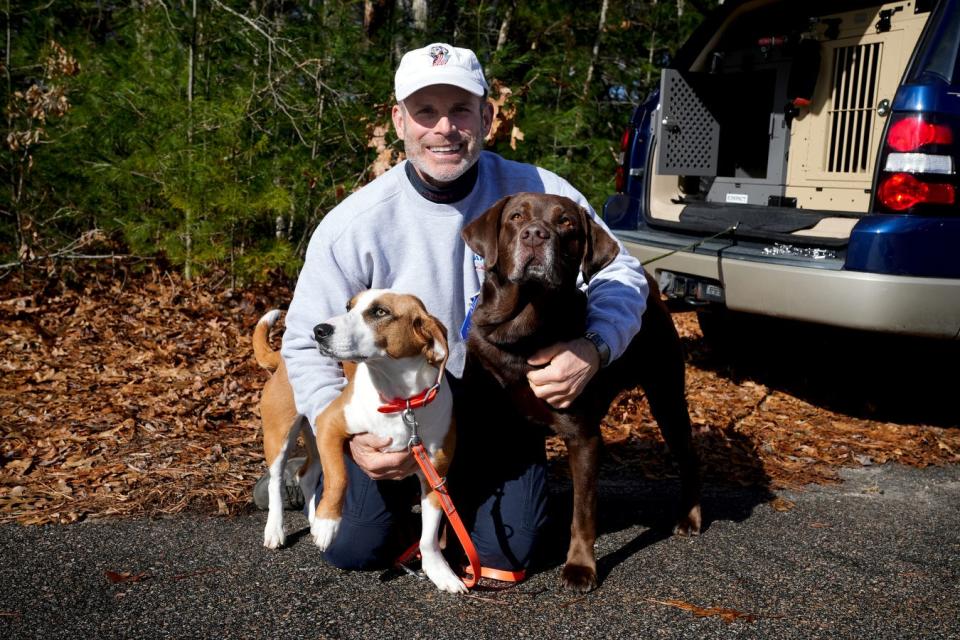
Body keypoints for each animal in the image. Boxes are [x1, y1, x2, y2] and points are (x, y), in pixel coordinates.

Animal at [253, 292, 466, 592]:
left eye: (380, 312)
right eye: (348, 307)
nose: (319, 330)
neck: (399, 400)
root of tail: (281, 360)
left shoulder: (435, 477)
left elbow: (429, 536)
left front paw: (440, 571)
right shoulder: (330, 426)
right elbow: (339, 478)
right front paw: (329, 522)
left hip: (314, 436)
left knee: (306, 475)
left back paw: (312, 518)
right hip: (281, 434)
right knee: (276, 481)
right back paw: (277, 528)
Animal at [462, 192, 700, 592]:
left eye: (566, 223)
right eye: (515, 217)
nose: (535, 235)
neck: (522, 330)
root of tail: (652, 288)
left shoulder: (583, 436)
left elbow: (583, 512)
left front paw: (580, 566)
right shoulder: (483, 421)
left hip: (666, 395)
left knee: (688, 457)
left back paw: (690, 517)